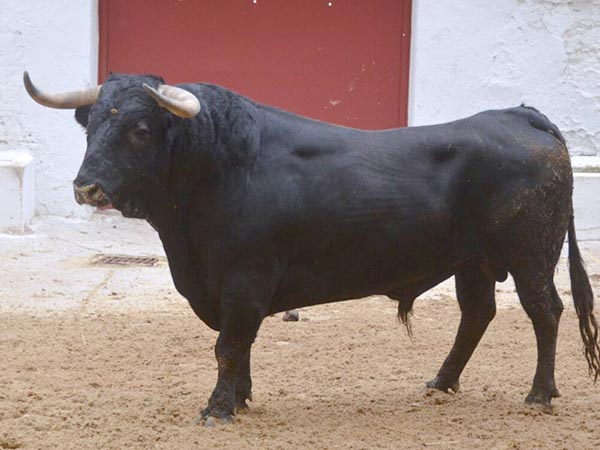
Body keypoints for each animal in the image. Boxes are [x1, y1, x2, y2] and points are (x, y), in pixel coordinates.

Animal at [24, 72, 600, 424]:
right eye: (91, 126)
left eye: (140, 129)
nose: (87, 187)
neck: (224, 165)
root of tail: (519, 115)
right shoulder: (232, 290)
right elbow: (241, 345)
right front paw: (242, 398)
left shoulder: (245, 280)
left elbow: (229, 345)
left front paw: (218, 409)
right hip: (473, 263)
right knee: (477, 314)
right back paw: (441, 382)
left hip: (530, 258)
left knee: (545, 312)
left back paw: (539, 394)